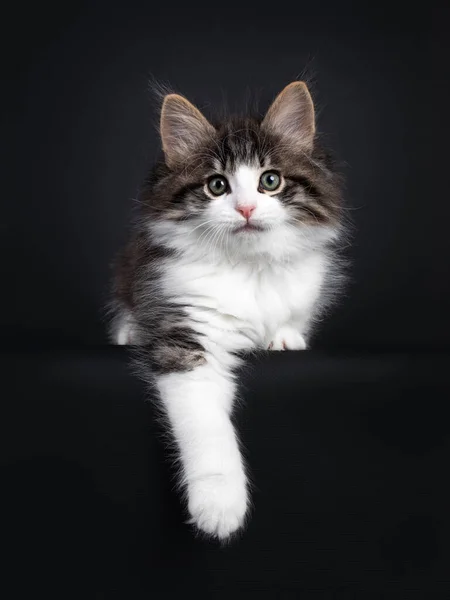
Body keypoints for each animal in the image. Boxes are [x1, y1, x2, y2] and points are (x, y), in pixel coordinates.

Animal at [110, 83, 342, 540]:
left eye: (270, 181)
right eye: (217, 186)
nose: (246, 209)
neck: (249, 266)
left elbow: (294, 317)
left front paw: (285, 338)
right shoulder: (189, 336)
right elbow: (206, 425)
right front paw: (219, 506)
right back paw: (130, 330)